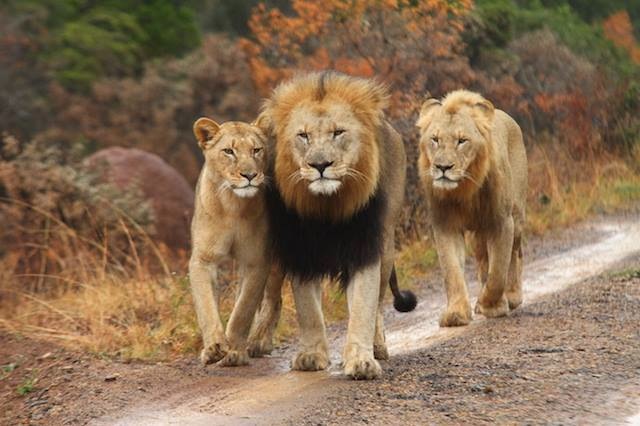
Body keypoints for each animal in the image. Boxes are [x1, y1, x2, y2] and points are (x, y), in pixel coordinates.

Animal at [189, 117, 275, 366]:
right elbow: (206, 306)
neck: (232, 206)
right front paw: (215, 348)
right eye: (229, 151)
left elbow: (243, 310)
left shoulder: (257, 261)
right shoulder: (203, 260)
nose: (249, 175)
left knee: (272, 300)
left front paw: (235, 352)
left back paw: (259, 341)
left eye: (256, 150)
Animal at [251, 72, 416, 380]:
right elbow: (308, 310)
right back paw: (257, 341)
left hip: (387, 246)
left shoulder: (365, 247)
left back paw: (377, 345)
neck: (328, 206)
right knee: (271, 297)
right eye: (303, 135)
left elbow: (363, 306)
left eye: (338, 132)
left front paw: (361, 360)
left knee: (378, 303)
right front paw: (311, 356)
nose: (320, 165)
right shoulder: (300, 251)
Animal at [416, 90, 527, 327]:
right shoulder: (445, 226)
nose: (443, 167)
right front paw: (456, 314)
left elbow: (498, 272)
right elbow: (452, 272)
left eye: (462, 141)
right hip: (478, 235)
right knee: (483, 260)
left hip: (517, 218)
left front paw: (490, 305)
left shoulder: (501, 222)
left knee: (515, 255)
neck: (464, 190)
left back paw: (513, 297)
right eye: (435, 139)